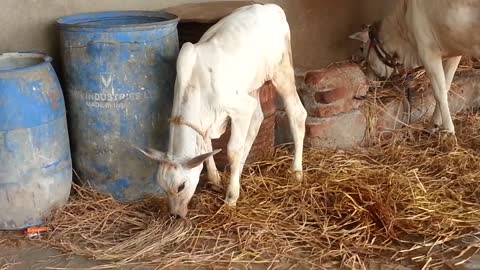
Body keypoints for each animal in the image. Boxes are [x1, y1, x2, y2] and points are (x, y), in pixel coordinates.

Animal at [138, 3, 308, 218]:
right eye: (162, 187)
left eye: (181, 186)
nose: (175, 215)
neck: (195, 84)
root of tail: (271, 7)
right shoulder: (210, 119)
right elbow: (207, 147)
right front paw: (215, 178)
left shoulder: (240, 107)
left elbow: (232, 150)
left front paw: (231, 199)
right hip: (251, 86)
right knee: (258, 119)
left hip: (281, 72)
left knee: (296, 113)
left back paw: (296, 173)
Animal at [348, 0, 480, 134]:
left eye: (362, 48)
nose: (368, 79)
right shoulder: (455, 53)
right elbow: (446, 86)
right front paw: (434, 124)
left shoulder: (428, 52)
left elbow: (439, 92)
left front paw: (448, 130)